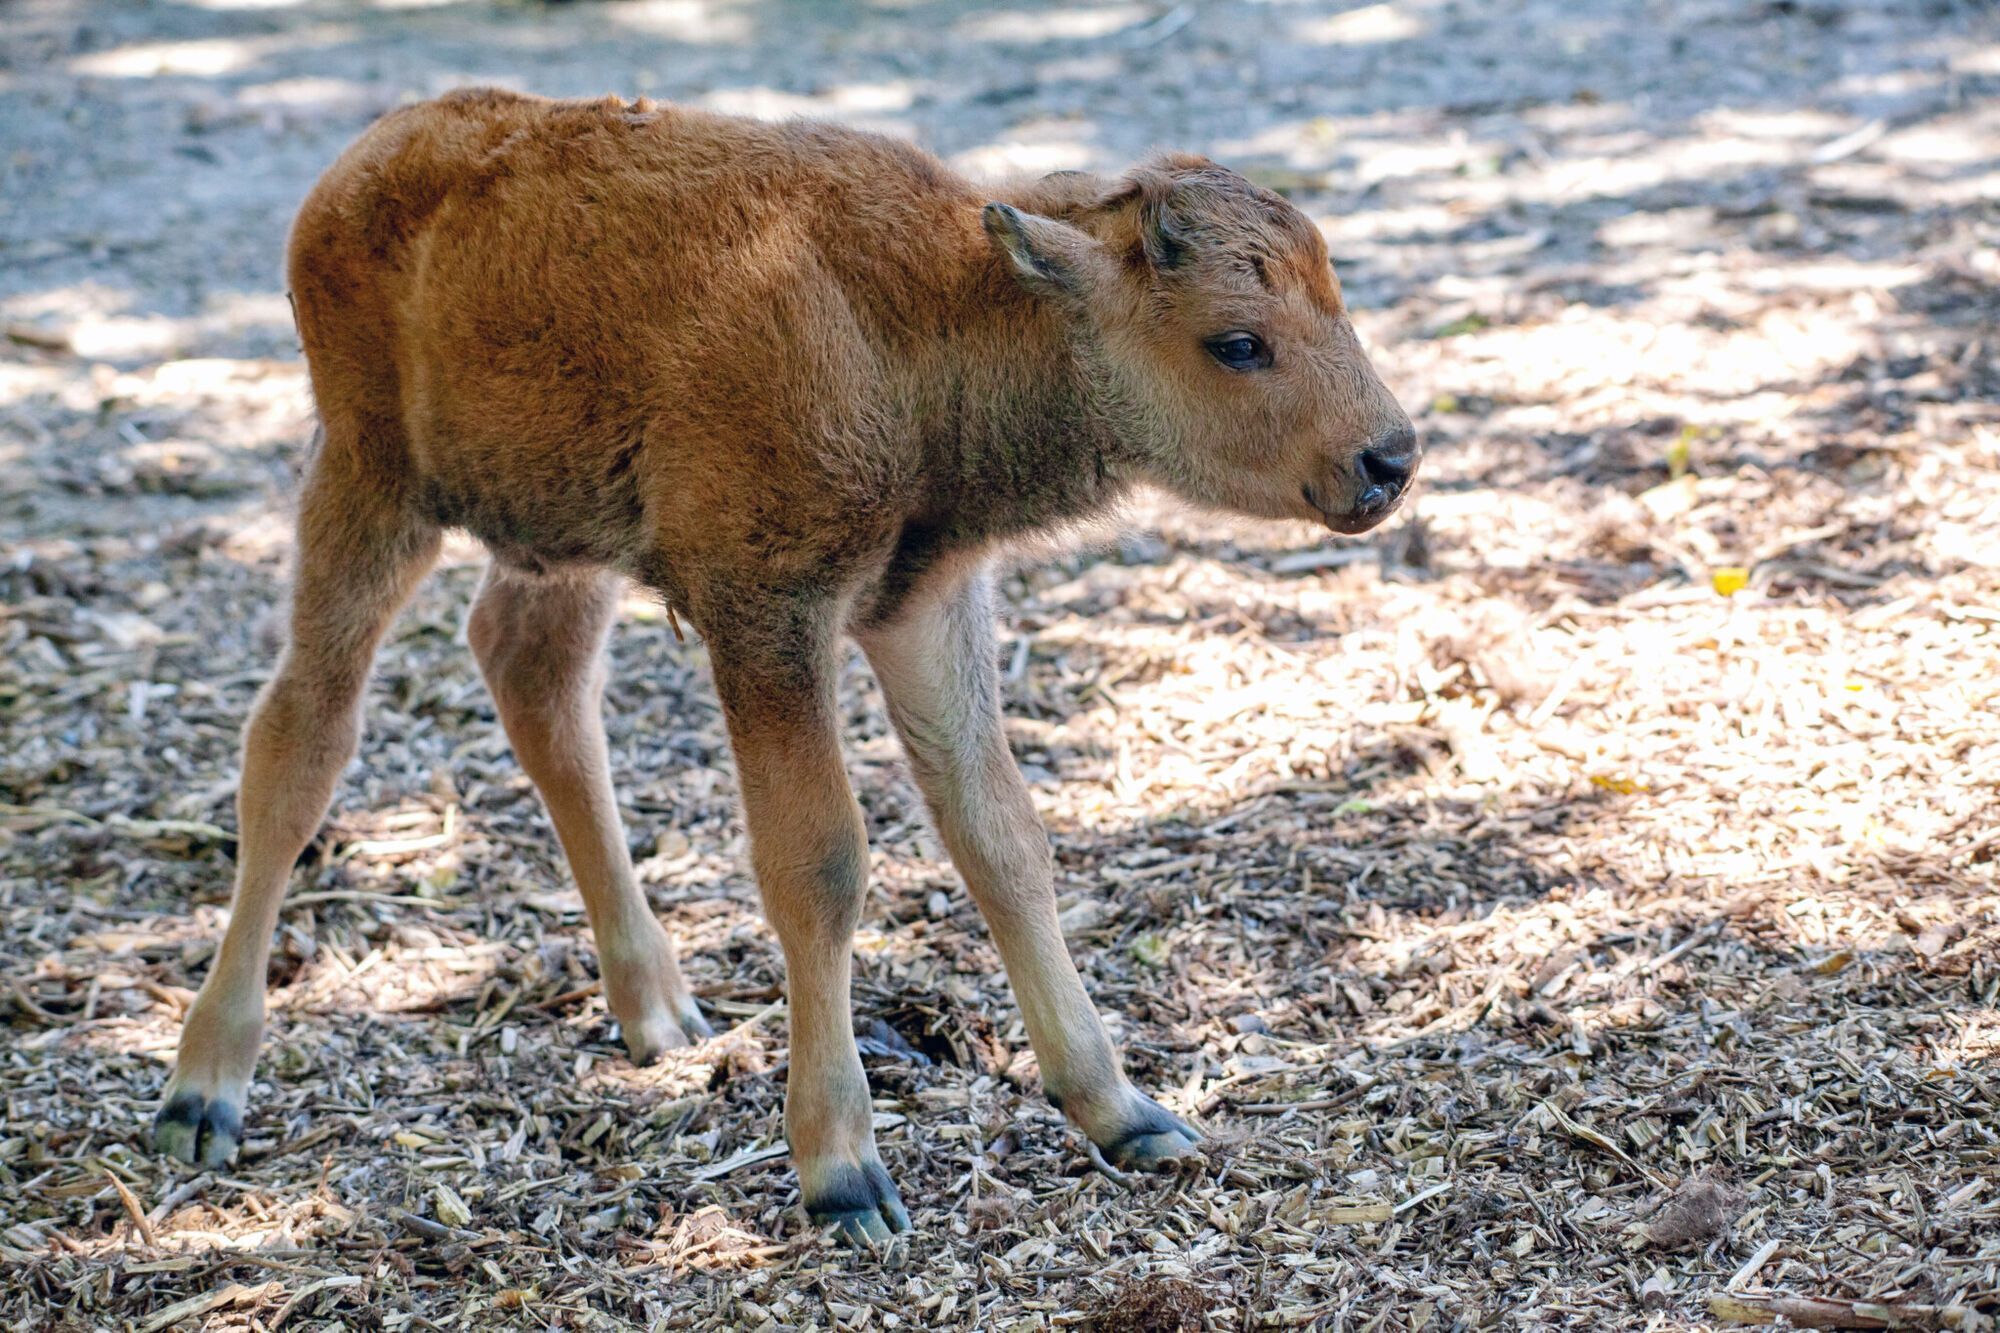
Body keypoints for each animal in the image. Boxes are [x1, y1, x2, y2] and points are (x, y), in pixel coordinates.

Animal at [156, 88, 1416, 1240]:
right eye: (1235, 341)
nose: (1388, 458)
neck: (918, 320)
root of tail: (364, 159)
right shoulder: (770, 616)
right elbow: (818, 862)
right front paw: (843, 1172)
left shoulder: (922, 602)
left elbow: (1000, 833)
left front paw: (1126, 1112)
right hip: (369, 486)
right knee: (300, 739)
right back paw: (201, 1092)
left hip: (557, 541)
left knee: (534, 678)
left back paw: (659, 1010)